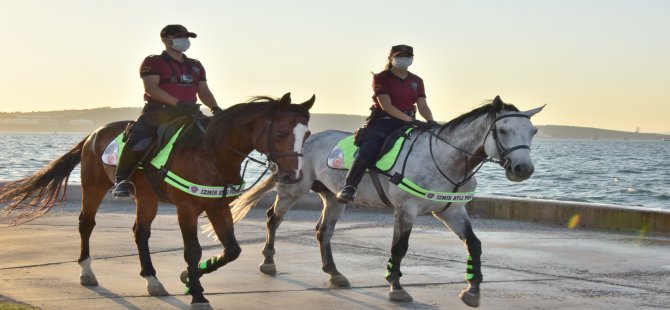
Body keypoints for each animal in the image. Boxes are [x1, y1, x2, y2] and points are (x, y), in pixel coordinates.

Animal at [0, 92, 316, 310]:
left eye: (307, 135)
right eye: (280, 133)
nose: (291, 176)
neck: (211, 154)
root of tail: (93, 134)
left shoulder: (217, 206)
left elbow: (232, 250)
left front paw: (190, 278)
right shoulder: (187, 208)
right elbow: (192, 251)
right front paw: (197, 293)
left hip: (147, 198)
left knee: (140, 233)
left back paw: (152, 279)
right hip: (94, 186)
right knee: (86, 224)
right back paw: (87, 272)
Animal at [218, 96, 544, 306]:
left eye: (533, 131)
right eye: (503, 130)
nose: (523, 169)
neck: (446, 159)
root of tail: (305, 140)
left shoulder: (452, 211)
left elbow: (474, 244)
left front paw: (472, 290)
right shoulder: (406, 210)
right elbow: (399, 247)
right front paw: (396, 287)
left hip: (334, 197)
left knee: (324, 232)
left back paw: (335, 274)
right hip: (294, 189)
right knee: (273, 219)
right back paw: (268, 262)